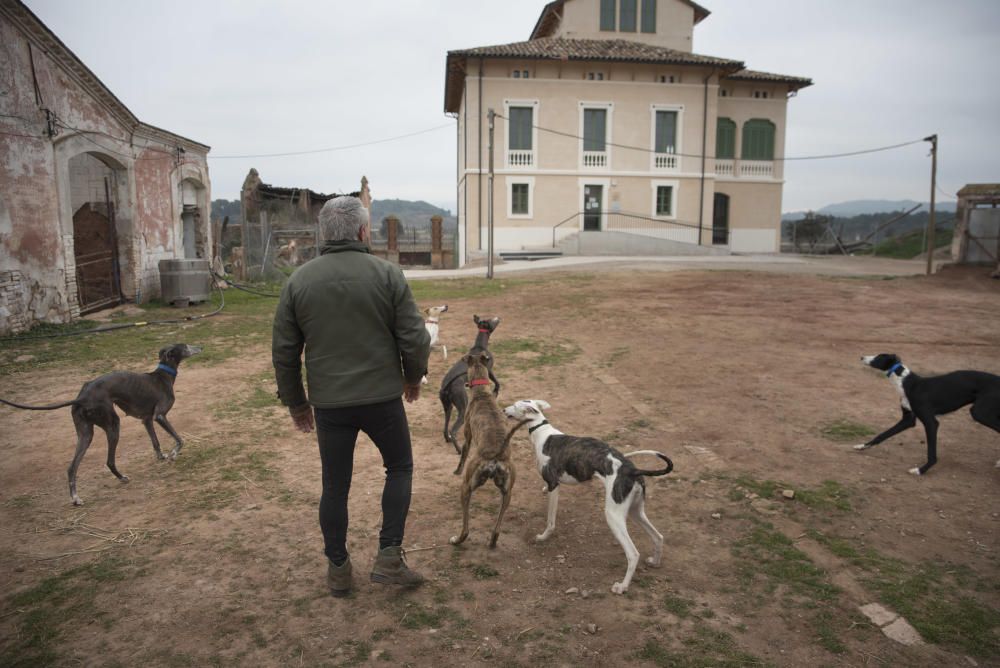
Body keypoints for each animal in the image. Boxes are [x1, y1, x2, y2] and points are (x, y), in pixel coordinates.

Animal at [452, 352, 532, 544]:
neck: (482, 394)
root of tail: (497, 454)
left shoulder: (467, 437)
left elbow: (462, 456)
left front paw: (457, 470)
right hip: (507, 491)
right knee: (497, 526)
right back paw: (493, 541)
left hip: (467, 486)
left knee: (466, 529)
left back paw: (457, 540)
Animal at [504, 400, 676, 592]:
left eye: (515, 405)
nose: (503, 409)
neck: (542, 432)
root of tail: (632, 470)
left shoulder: (554, 486)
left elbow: (550, 521)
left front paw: (543, 537)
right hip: (635, 511)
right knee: (658, 537)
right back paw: (655, 562)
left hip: (613, 515)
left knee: (633, 554)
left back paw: (622, 587)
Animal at [852, 354, 1000, 474]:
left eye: (878, 357)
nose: (861, 357)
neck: (908, 383)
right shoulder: (908, 420)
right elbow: (882, 435)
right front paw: (862, 446)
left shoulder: (931, 422)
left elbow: (931, 452)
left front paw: (921, 470)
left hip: (978, 412)